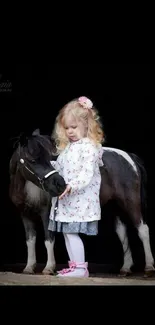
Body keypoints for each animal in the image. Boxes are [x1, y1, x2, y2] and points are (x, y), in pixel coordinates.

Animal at [9, 128, 154, 274]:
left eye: (50, 159)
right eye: (32, 160)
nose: (59, 184)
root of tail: (130, 157)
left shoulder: (46, 212)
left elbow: (48, 239)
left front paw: (49, 267)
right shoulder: (25, 214)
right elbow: (30, 240)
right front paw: (29, 267)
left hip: (131, 203)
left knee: (143, 230)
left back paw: (149, 266)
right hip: (116, 206)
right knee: (122, 233)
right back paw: (125, 268)